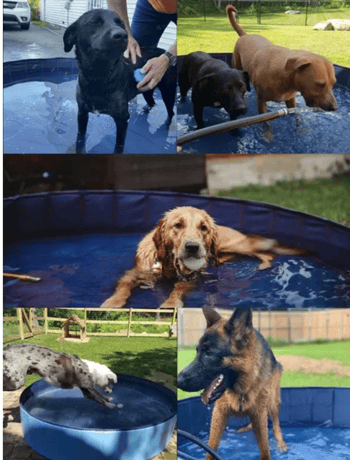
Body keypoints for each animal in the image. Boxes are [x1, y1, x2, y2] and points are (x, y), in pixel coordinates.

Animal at [63, 8, 175, 153]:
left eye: (121, 24)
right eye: (94, 22)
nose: (121, 35)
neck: (99, 77)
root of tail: (165, 52)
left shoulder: (122, 119)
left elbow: (119, 146)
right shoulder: (82, 113)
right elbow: (80, 138)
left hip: (168, 91)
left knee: (171, 112)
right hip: (147, 88)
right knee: (152, 102)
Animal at [100, 208, 308, 310]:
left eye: (203, 228)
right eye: (178, 225)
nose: (192, 247)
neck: (169, 265)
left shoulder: (191, 278)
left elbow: (178, 288)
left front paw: (171, 303)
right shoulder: (136, 272)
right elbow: (123, 286)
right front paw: (112, 302)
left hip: (235, 244)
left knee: (266, 252)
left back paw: (264, 265)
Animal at [179, 308, 288, 460]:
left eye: (209, 353)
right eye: (197, 351)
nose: (178, 380)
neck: (243, 389)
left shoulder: (259, 412)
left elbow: (265, 448)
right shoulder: (219, 412)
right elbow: (211, 446)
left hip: (272, 402)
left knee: (276, 425)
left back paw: (281, 443)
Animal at [227, 5, 336, 138]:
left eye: (333, 84)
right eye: (320, 84)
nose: (334, 108)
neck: (284, 74)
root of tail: (245, 35)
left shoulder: (291, 100)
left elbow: (296, 116)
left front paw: (301, 128)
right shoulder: (261, 100)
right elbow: (265, 121)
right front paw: (268, 135)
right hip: (237, 64)